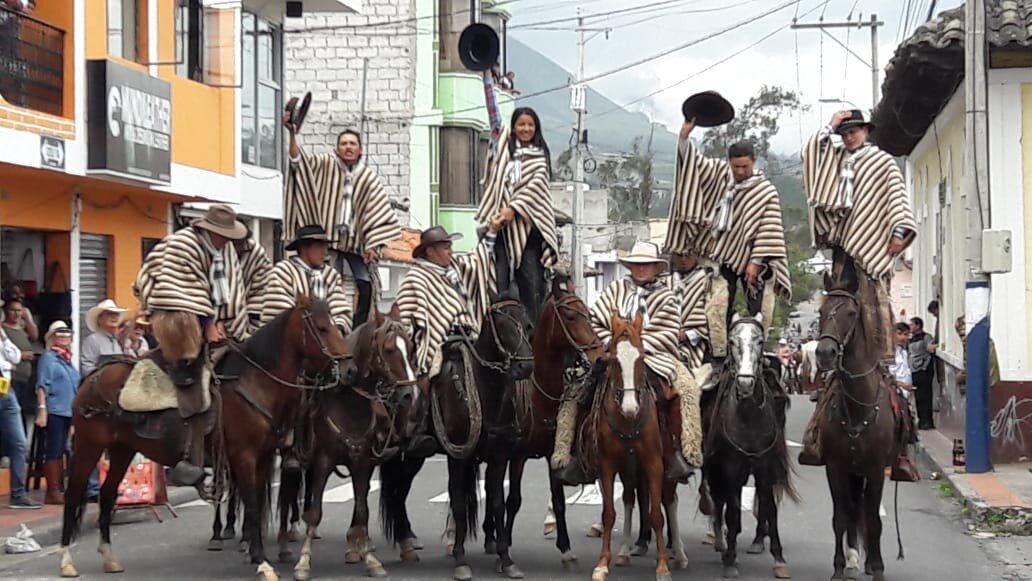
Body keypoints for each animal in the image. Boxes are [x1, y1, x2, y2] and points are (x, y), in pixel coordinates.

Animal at [58, 297, 352, 577]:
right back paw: (66, 561)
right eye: (322, 328)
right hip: (88, 445)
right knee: (73, 494)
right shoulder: (244, 457)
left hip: (122, 449)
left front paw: (255, 550)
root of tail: (93, 376)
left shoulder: (264, 458)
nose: (347, 367)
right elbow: (252, 505)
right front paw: (261, 561)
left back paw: (109, 557)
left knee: (108, 495)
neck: (254, 382)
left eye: (336, 326)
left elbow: (256, 502)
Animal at [288, 309, 416, 577]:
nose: (409, 395)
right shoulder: (324, 460)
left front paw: (369, 558)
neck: (348, 401)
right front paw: (303, 562)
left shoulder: (361, 463)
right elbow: (316, 512)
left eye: (410, 347)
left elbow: (362, 509)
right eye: (389, 349)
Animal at [379, 291, 536, 581]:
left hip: (414, 456)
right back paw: (405, 542)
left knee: (400, 490)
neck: (487, 391)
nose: (525, 368)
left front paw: (506, 559)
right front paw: (461, 560)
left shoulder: (499, 456)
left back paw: (408, 540)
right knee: (396, 490)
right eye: (502, 325)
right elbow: (459, 503)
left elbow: (497, 502)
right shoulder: (458, 457)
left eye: (527, 325)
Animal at [590, 313, 668, 581]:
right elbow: (609, 513)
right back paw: (624, 550)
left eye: (641, 357)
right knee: (629, 498)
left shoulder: (654, 464)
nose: (630, 407)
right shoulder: (607, 465)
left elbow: (657, 514)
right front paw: (603, 563)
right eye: (614, 360)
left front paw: (663, 565)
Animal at [705, 315, 792, 577]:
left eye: (760, 341)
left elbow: (769, 508)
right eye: (732, 341)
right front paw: (730, 560)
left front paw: (779, 559)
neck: (749, 417)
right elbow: (732, 512)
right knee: (719, 501)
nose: (744, 383)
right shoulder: (730, 468)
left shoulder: (765, 467)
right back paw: (722, 544)